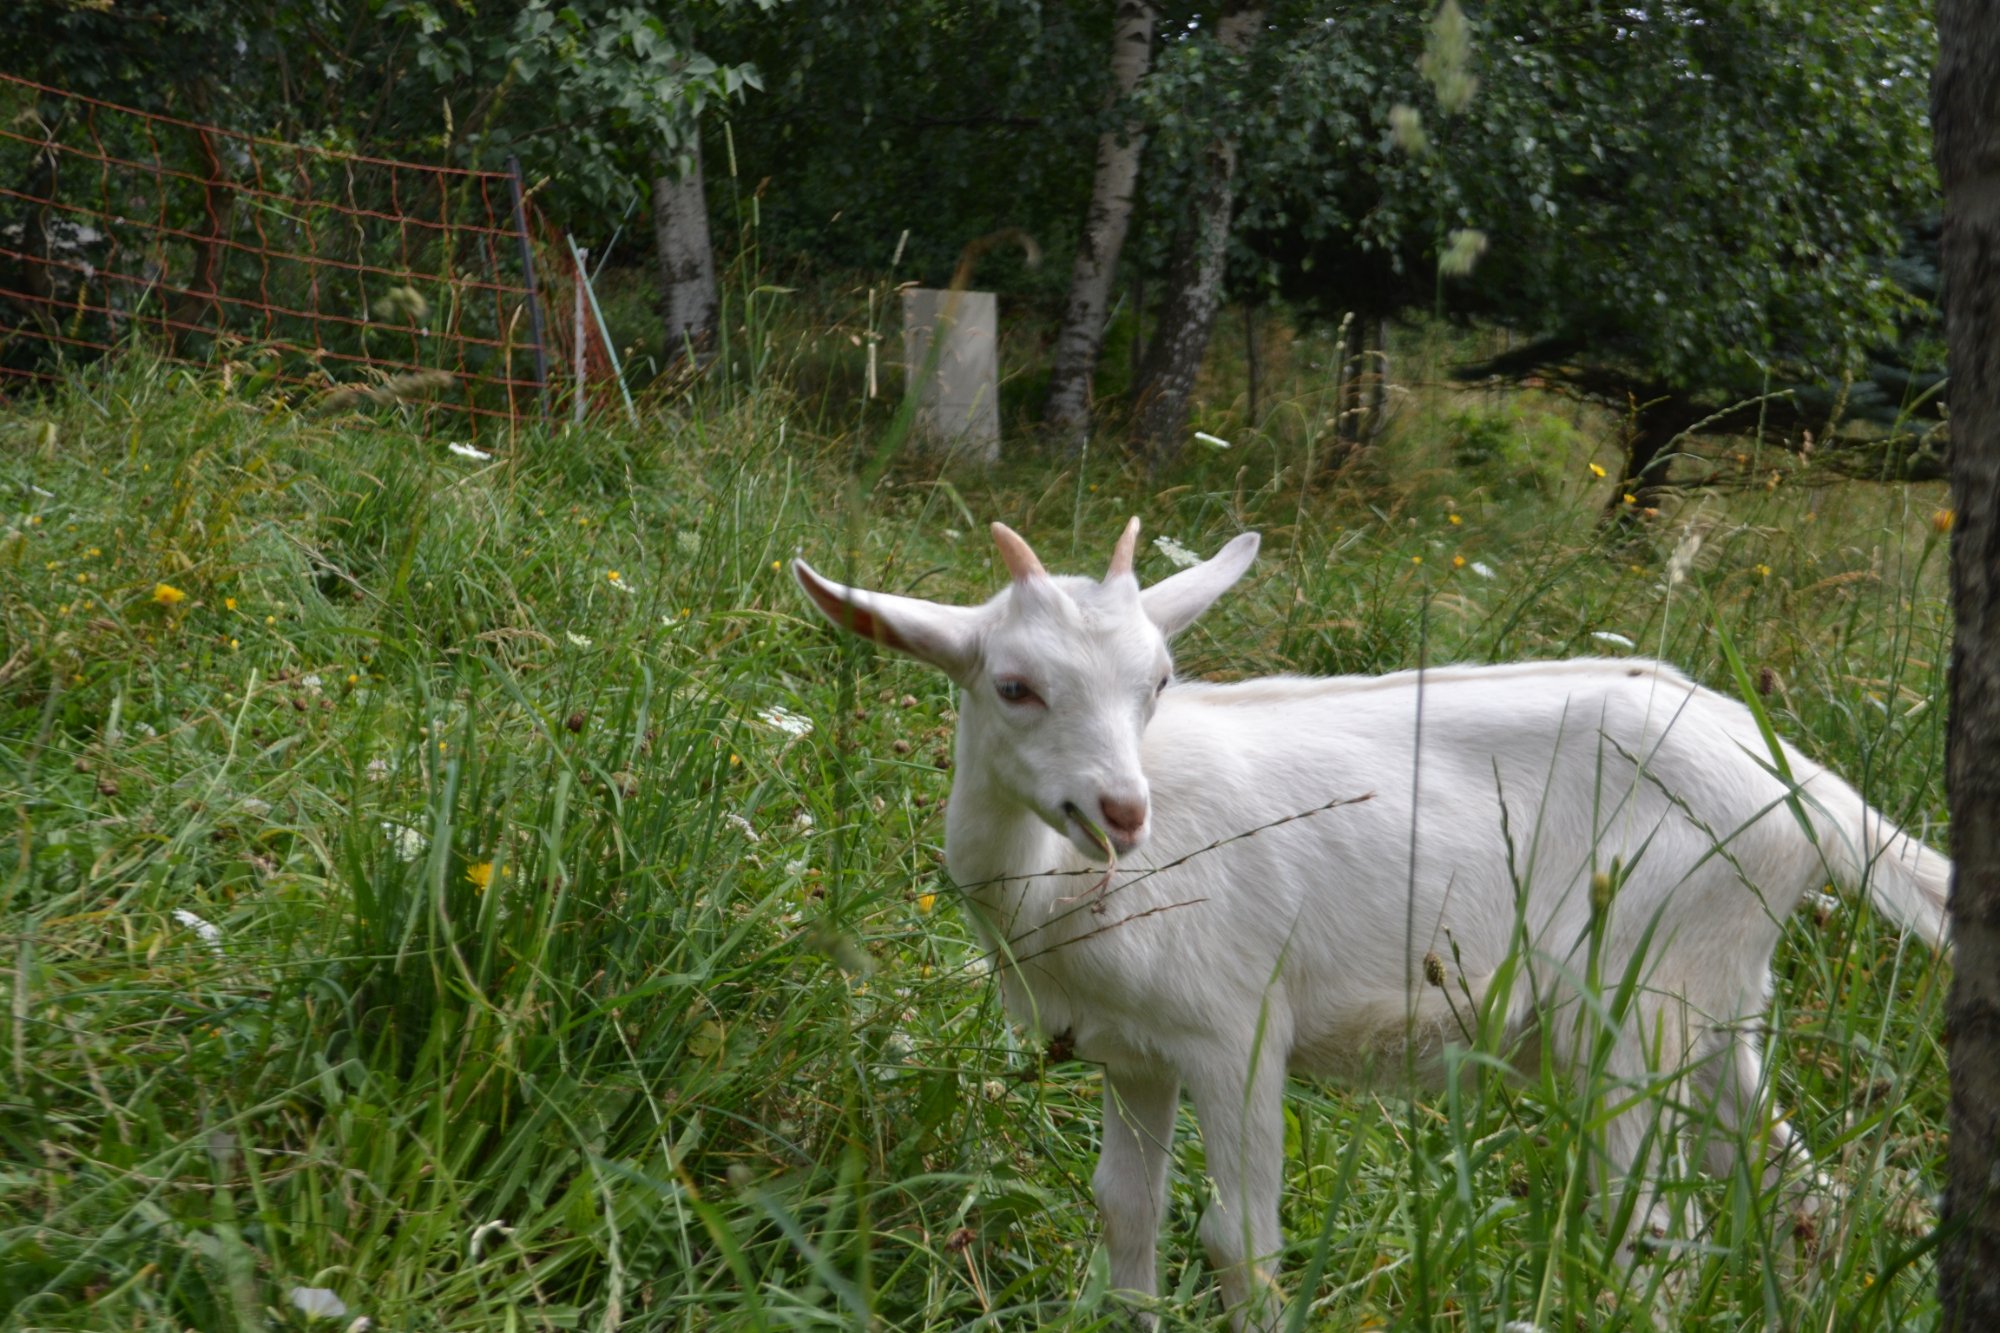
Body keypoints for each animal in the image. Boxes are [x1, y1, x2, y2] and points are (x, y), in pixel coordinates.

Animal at [788, 516, 1944, 1320]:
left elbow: (1239, 1242)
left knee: (1652, 1224)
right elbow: (1124, 1213)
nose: (1121, 810)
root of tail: (1806, 787)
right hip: (1716, 998)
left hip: (1634, 1002)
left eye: (1158, 679)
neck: (1060, 885)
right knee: (1800, 1189)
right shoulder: (1132, 1052)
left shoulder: (1236, 1031)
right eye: (1015, 685)